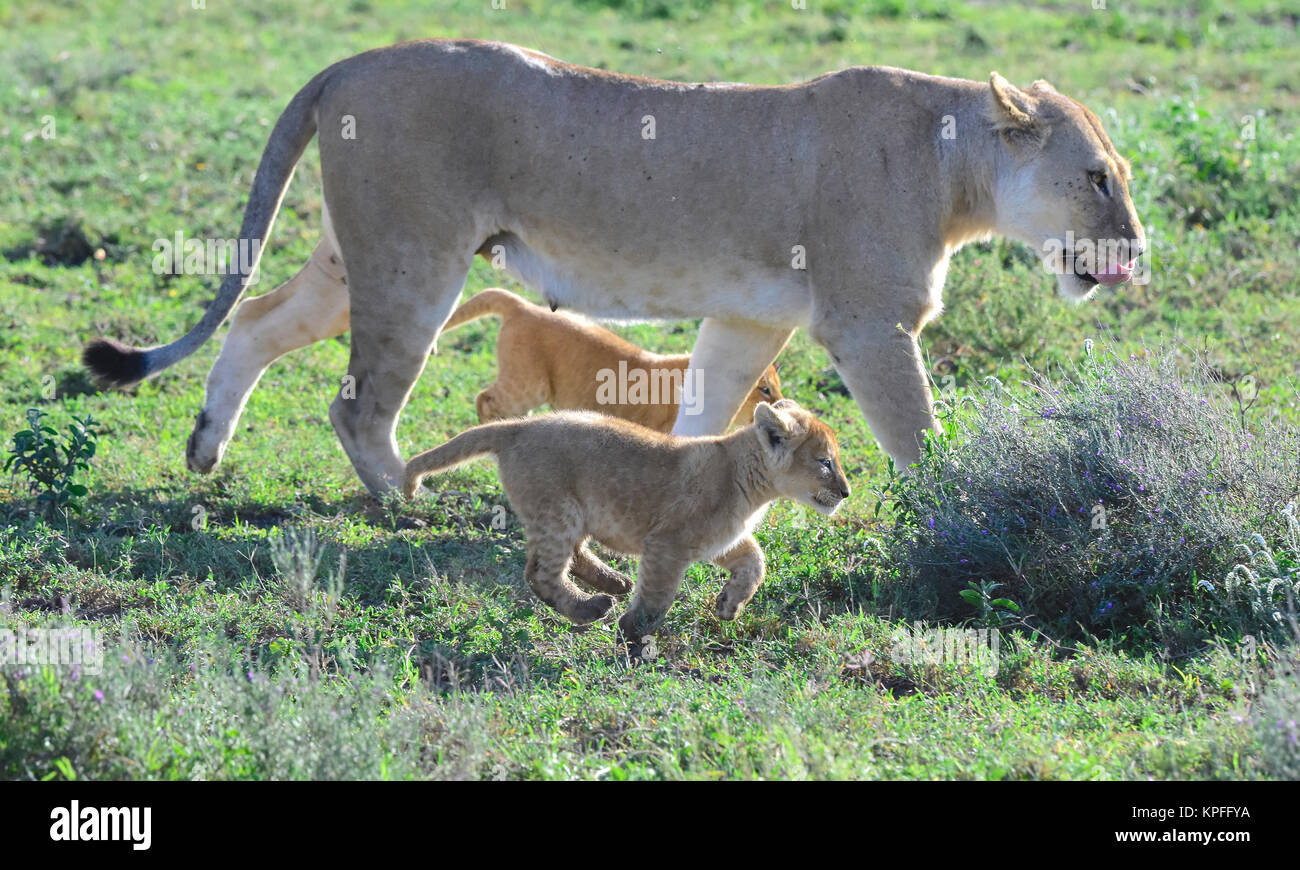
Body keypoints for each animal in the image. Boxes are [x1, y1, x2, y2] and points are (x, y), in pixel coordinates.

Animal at [81, 39, 1144, 494]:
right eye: (1097, 178)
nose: (1136, 255)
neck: (957, 166)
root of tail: (348, 62)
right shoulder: (870, 325)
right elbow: (921, 436)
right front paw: (962, 517)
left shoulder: (750, 318)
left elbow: (705, 414)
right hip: (415, 260)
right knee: (356, 404)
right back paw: (401, 496)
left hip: (361, 257)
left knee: (256, 320)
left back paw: (205, 451)